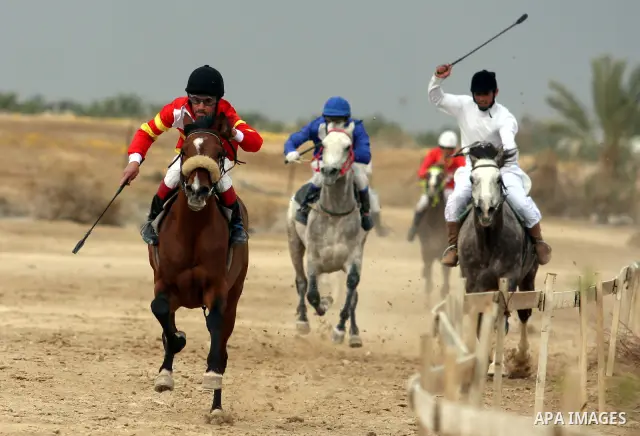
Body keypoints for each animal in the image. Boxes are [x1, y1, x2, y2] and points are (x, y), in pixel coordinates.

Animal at [147, 111, 249, 416]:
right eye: (184, 151)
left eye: (219, 153)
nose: (197, 191)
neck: (192, 231)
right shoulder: (164, 281)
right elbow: (161, 312)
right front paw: (166, 371)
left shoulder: (217, 288)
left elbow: (215, 330)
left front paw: (212, 377)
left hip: (235, 294)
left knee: (222, 344)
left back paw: (216, 406)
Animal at [286, 120, 369, 347]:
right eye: (322, 145)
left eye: (348, 147)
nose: (329, 171)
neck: (335, 213)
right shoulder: (314, 258)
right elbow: (312, 293)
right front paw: (322, 305)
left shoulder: (353, 257)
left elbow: (352, 289)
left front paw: (341, 330)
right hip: (294, 242)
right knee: (301, 282)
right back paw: (302, 321)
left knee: (354, 295)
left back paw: (354, 334)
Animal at [457, 141, 537, 377]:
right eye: (472, 179)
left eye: (499, 179)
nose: (486, 209)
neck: (488, 244)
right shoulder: (473, 283)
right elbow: (478, 318)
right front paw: (480, 359)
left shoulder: (508, 279)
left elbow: (501, 317)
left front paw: (495, 365)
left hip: (529, 276)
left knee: (524, 313)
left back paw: (521, 358)